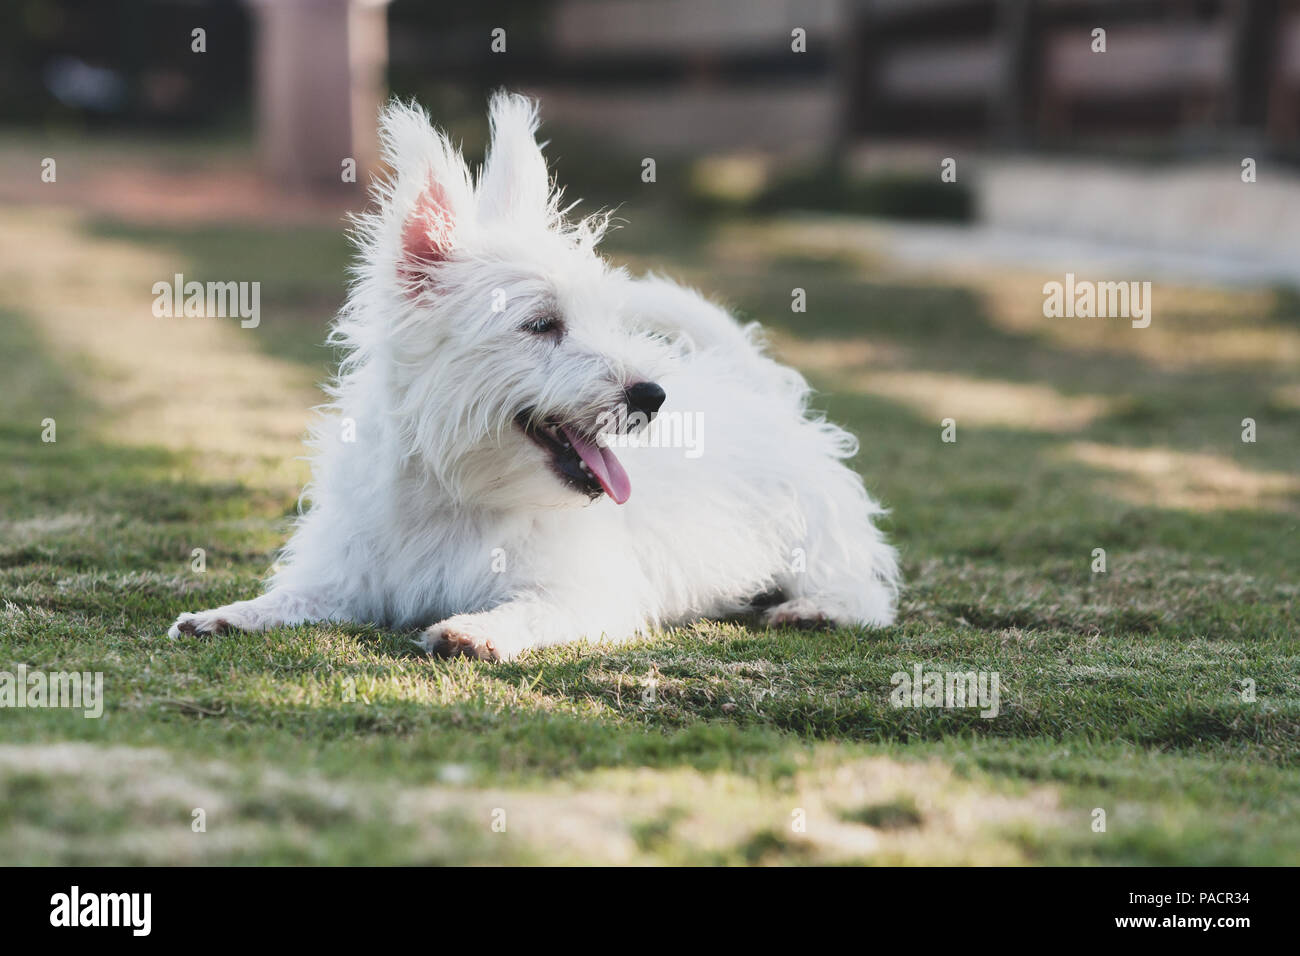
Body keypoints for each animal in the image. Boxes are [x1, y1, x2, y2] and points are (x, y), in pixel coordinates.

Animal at [167, 93, 899, 660]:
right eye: (543, 324)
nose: (653, 396)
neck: (462, 491)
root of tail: (755, 389)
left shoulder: (586, 593)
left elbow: (530, 609)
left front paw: (473, 631)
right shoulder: (350, 576)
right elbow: (294, 595)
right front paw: (227, 614)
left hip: (813, 532)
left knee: (865, 588)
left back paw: (815, 608)